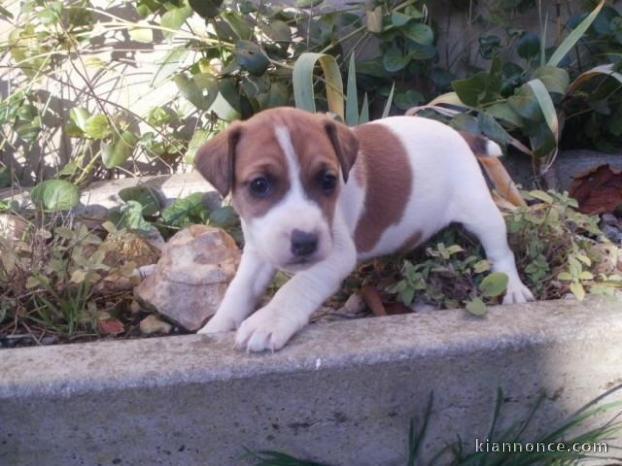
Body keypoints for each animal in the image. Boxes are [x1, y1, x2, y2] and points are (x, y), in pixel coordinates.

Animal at [196, 107, 536, 352]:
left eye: (328, 180)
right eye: (259, 185)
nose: (305, 242)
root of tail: (455, 132)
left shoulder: (335, 255)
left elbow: (296, 287)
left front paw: (269, 320)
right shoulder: (258, 251)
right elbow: (239, 291)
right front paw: (214, 328)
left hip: (481, 211)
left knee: (500, 251)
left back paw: (514, 288)